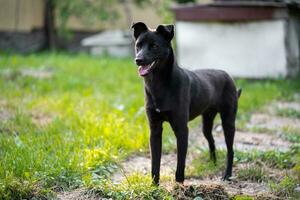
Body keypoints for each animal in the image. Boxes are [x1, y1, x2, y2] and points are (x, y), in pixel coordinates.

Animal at [131, 22, 241, 184]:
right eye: (138, 45)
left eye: (155, 46)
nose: (138, 59)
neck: (159, 84)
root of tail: (227, 75)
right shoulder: (155, 129)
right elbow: (155, 162)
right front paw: (154, 185)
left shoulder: (182, 129)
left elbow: (180, 163)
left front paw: (179, 185)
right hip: (206, 123)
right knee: (212, 141)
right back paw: (213, 163)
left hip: (228, 122)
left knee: (230, 150)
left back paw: (227, 175)